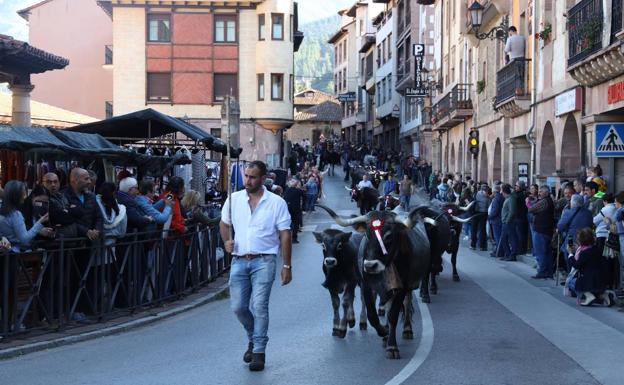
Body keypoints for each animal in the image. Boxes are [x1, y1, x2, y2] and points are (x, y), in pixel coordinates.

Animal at [316, 206, 434, 358]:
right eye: (366, 235)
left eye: (388, 236)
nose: (370, 265)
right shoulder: (366, 285)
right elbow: (372, 315)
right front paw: (384, 331)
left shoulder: (402, 287)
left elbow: (393, 314)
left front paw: (392, 346)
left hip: (409, 285)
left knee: (407, 304)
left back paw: (407, 329)